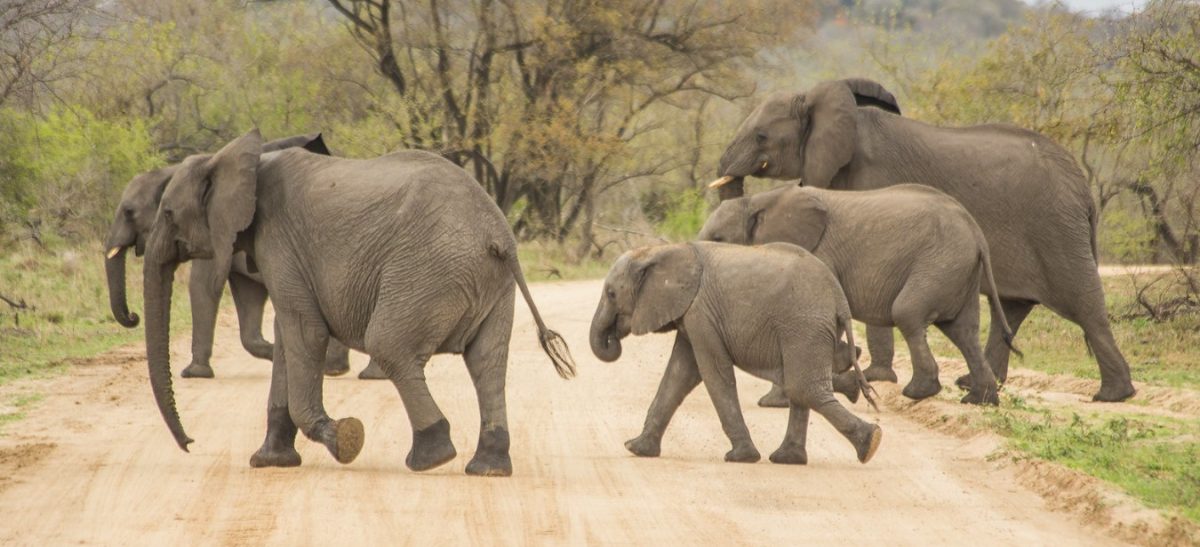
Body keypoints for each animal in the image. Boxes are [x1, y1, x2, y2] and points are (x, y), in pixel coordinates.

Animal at [103, 133, 382, 379]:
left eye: (129, 212)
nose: (133, 317)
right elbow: (248, 296)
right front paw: (273, 353)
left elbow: (203, 286)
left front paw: (193, 374)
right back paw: (337, 370)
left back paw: (358, 373)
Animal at [140, 129, 575, 476]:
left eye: (168, 212)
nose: (190, 444)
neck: (244, 158)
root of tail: (498, 235)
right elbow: (288, 337)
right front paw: (269, 462)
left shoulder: (279, 241)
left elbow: (305, 332)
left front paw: (344, 440)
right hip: (490, 284)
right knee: (486, 362)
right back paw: (488, 468)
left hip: (429, 270)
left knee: (390, 344)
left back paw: (430, 458)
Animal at [590, 241, 881, 465]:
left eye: (611, 293)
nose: (612, 339)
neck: (662, 249)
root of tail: (839, 298)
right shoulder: (692, 315)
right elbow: (679, 375)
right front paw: (636, 448)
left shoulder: (701, 314)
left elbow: (713, 374)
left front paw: (741, 457)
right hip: (807, 329)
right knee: (800, 386)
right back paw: (789, 458)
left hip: (804, 325)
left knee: (802, 388)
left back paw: (870, 443)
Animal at [699, 184, 1019, 406]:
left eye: (718, 239)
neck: (760, 200)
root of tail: (976, 233)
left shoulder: (818, 255)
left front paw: (774, 403)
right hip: (960, 270)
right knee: (963, 331)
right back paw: (979, 400)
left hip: (940, 262)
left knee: (908, 312)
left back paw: (918, 392)